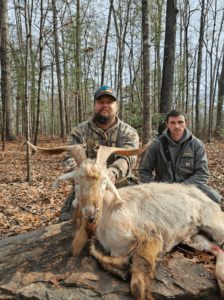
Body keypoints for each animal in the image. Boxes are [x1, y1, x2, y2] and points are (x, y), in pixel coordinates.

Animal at [27, 142, 224, 300]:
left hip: (213, 223)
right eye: (76, 182)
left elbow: (138, 286)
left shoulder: (151, 238)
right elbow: (94, 250)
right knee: (217, 249)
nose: (90, 213)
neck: (111, 211)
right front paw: (121, 266)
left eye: (104, 182)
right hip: (193, 238)